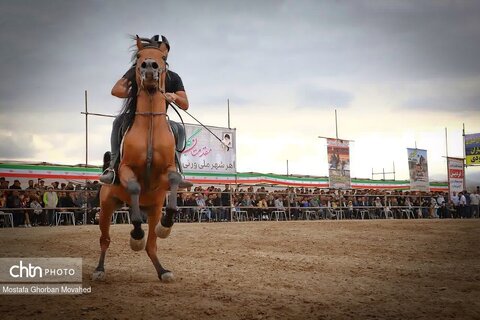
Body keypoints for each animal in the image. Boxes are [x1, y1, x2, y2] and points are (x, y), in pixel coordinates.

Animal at [93, 35, 183, 282]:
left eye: (163, 58)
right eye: (139, 57)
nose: (149, 67)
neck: (150, 125)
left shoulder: (167, 172)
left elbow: (174, 180)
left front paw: (166, 224)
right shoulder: (126, 170)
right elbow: (133, 187)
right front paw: (135, 234)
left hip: (152, 208)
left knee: (152, 245)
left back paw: (163, 270)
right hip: (106, 207)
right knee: (105, 240)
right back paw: (99, 269)